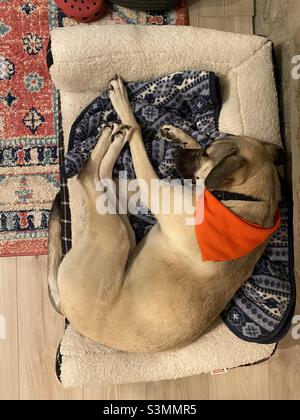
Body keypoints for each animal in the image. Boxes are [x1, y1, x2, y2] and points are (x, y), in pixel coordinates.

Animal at [51, 74, 282, 352]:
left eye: (206, 155)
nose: (176, 155)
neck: (249, 203)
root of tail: (65, 308)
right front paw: (180, 135)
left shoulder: (154, 187)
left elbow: (138, 136)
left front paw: (126, 111)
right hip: (123, 231)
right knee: (102, 179)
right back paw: (116, 138)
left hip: (113, 235)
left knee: (87, 175)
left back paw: (113, 133)